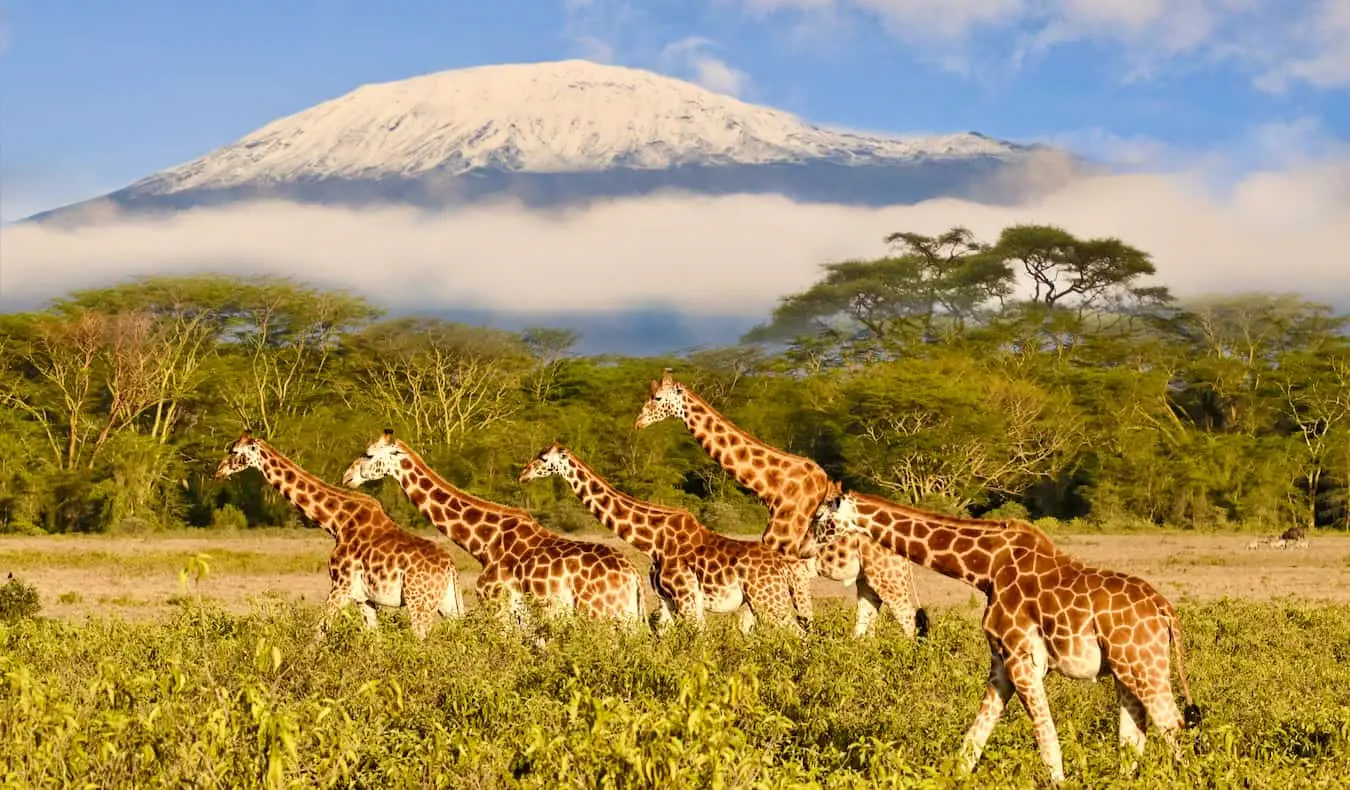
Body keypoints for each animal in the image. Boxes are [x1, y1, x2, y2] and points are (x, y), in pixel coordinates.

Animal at [210, 429, 464, 637]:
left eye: (234, 451)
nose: (218, 472)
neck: (336, 523)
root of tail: (450, 568)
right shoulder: (364, 598)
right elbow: (374, 639)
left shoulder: (340, 586)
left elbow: (318, 631)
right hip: (447, 604)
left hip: (419, 602)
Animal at [342, 424, 648, 629]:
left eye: (369, 455)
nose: (346, 477)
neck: (484, 542)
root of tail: (633, 576)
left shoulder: (496, 604)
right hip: (626, 617)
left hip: (598, 614)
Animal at [515, 442, 810, 634]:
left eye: (543, 458)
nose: (523, 474)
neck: (653, 541)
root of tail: (784, 567)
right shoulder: (666, 599)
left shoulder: (686, 597)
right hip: (762, 601)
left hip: (768, 600)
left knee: (797, 633)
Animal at [634, 370, 928, 640]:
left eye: (657, 398)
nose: (638, 423)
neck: (773, 488)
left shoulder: (789, 565)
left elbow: (784, 621)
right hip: (867, 577)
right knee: (871, 619)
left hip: (886, 573)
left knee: (907, 619)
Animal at [799, 480, 1204, 783]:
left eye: (819, 517)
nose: (800, 548)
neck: (985, 568)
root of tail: (1166, 612)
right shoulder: (1000, 662)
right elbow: (972, 743)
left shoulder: (1022, 658)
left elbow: (1047, 742)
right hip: (1125, 670)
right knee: (1134, 737)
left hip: (1143, 665)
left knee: (1173, 726)